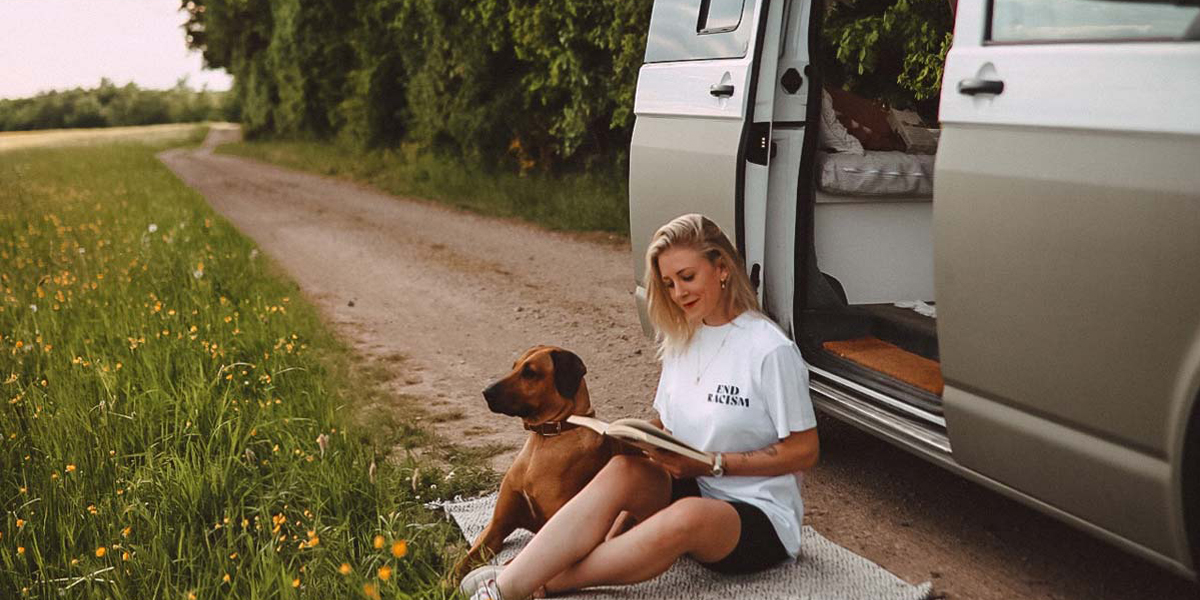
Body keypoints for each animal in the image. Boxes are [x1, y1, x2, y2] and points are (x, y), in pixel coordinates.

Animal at [453, 348, 614, 576]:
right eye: (514, 367)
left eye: (529, 372)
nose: (486, 392)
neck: (543, 440)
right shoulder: (496, 527)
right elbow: (458, 567)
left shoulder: (555, 533)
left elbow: (515, 564)